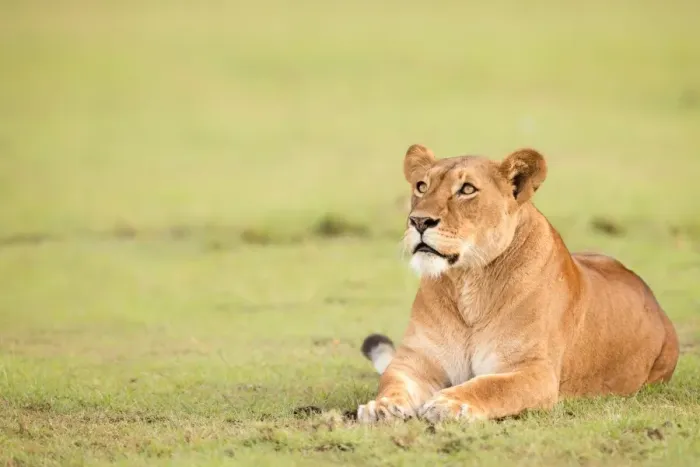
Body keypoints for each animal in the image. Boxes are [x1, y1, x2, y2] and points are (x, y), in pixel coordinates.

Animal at [356, 144, 679, 424]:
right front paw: (381, 407)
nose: (419, 221)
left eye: (467, 189)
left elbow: (491, 387)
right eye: (422, 186)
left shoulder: (536, 372)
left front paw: (450, 403)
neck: (468, 284)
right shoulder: (414, 361)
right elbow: (392, 381)